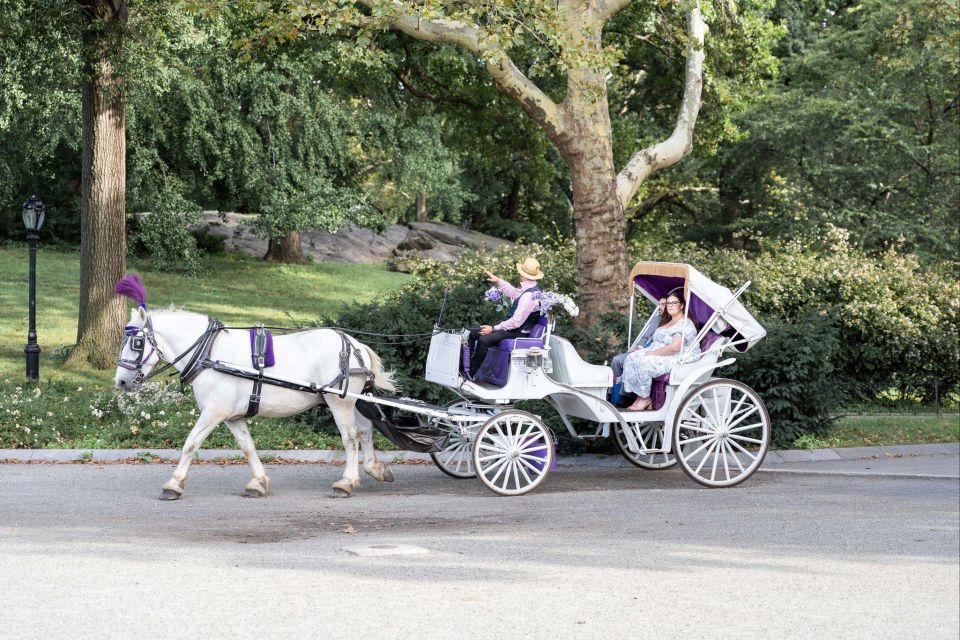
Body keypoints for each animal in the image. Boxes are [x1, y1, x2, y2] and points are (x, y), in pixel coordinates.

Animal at [113, 302, 398, 502]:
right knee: (365, 430)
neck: (209, 353)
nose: (121, 382)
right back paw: (375, 468)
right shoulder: (233, 416)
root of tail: (355, 345)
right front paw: (258, 482)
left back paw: (346, 482)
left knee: (350, 437)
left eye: (136, 342)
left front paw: (173, 485)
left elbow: (190, 444)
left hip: (339, 402)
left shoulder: (213, 412)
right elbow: (247, 447)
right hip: (354, 401)